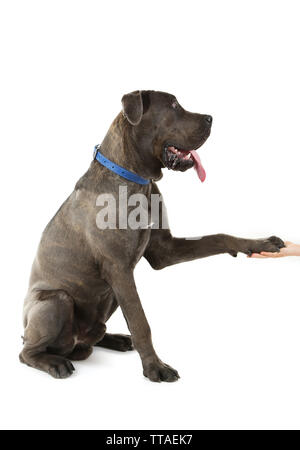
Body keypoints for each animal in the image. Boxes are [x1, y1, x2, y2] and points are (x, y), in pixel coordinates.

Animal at [20, 89, 284, 382]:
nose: (210, 118)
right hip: (57, 301)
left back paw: (113, 339)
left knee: (94, 334)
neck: (136, 178)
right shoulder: (119, 270)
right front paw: (155, 367)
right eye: (173, 105)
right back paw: (54, 363)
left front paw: (259, 243)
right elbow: (140, 321)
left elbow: (217, 236)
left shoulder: (164, 251)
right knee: (27, 351)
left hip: (108, 296)